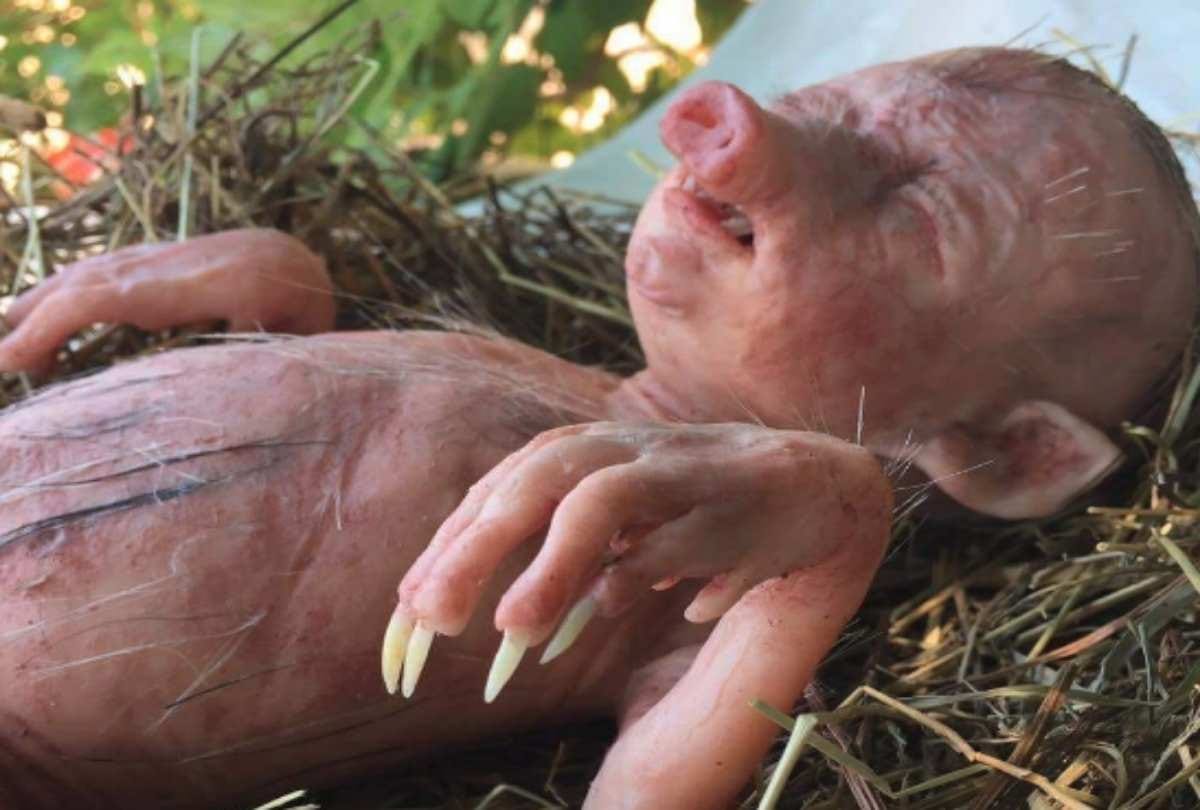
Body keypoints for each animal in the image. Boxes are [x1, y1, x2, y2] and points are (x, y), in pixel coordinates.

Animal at [0, 47, 1195, 809]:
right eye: (840, 100)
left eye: (921, 212)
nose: (719, 112)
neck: (630, 394)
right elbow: (294, 266)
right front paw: (61, 306)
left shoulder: (665, 645)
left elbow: (658, 773)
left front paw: (700, 486)